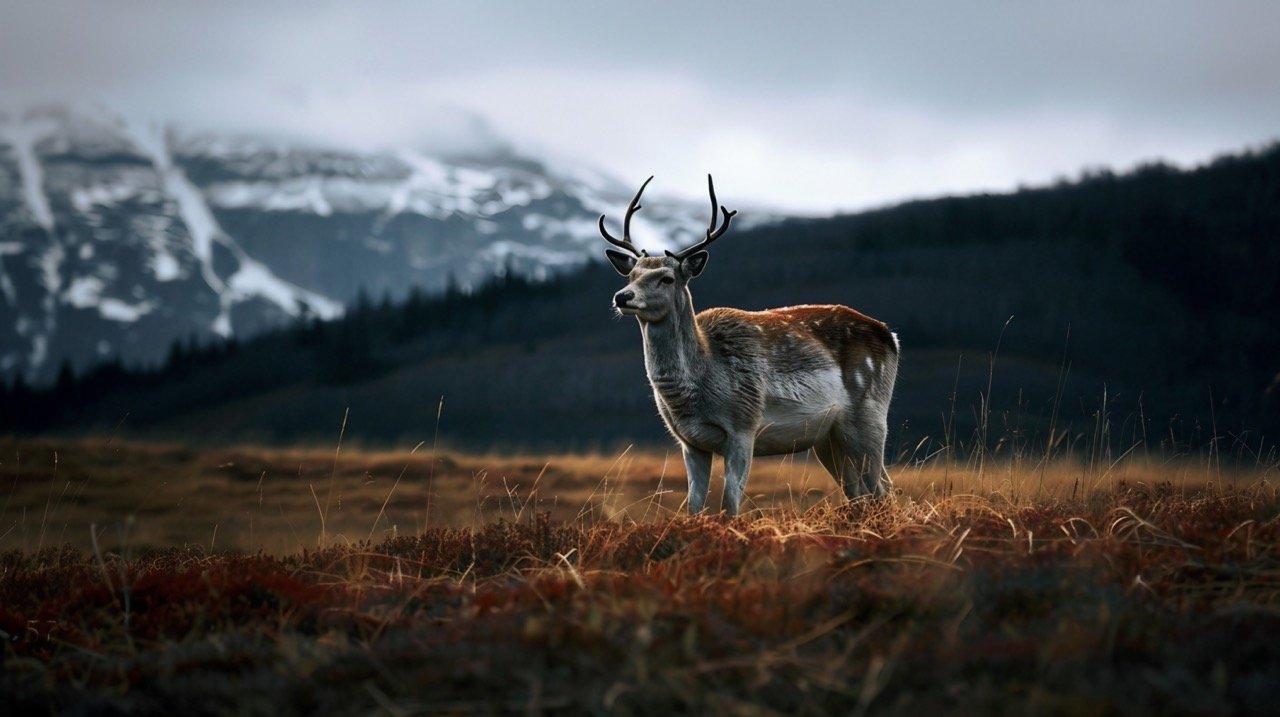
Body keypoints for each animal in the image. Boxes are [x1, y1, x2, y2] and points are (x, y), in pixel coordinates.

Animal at [601, 174, 896, 514]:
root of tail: (890, 335)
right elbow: (693, 507)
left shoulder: (744, 425)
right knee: (859, 490)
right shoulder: (689, 441)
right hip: (828, 436)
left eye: (666, 278)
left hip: (870, 412)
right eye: (631, 275)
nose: (622, 296)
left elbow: (730, 504)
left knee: (883, 486)